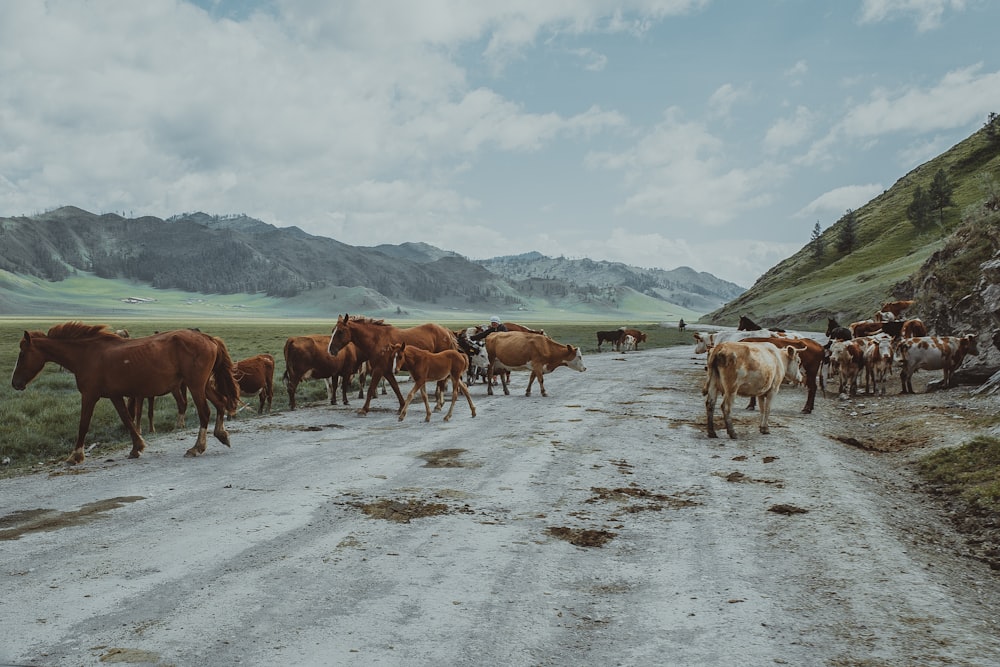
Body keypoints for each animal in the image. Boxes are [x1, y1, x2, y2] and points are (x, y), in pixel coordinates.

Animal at [11, 324, 240, 464]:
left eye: (22, 354)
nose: (15, 383)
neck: (87, 355)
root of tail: (208, 338)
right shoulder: (116, 395)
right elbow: (127, 419)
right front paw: (136, 447)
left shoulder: (89, 396)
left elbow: (83, 424)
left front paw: (75, 456)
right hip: (203, 385)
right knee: (220, 404)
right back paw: (221, 435)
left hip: (195, 385)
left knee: (205, 413)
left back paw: (197, 447)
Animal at [332, 314, 460, 418]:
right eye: (333, 330)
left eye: (340, 332)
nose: (331, 350)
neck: (377, 340)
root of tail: (446, 331)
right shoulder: (387, 371)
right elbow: (395, 388)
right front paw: (402, 407)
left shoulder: (378, 370)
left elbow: (371, 389)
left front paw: (364, 410)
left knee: (441, 382)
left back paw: (438, 405)